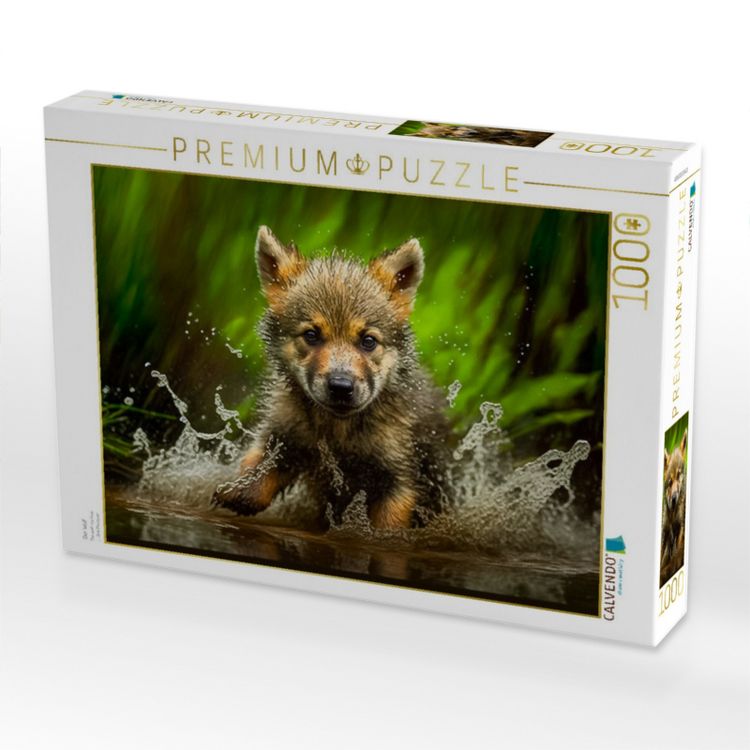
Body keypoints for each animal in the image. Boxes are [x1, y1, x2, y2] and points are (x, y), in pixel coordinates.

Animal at [211, 226, 452, 529]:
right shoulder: (283, 436)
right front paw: (237, 491)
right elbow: (257, 474)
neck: (338, 431)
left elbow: (387, 528)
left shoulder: (399, 477)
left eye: (368, 341)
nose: (340, 386)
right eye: (312, 335)